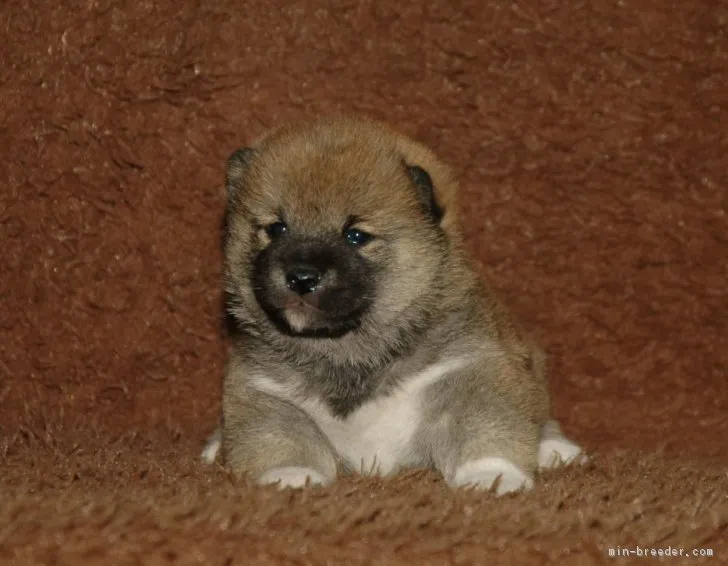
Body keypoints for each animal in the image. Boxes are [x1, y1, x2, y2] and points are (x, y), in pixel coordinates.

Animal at [202, 116, 584, 496]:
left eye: (355, 236)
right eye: (276, 229)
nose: (301, 277)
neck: (348, 352)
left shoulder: (473, 371)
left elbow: (485, 429)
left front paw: (493, 476)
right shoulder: (265, 393)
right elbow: (283, 439)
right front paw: (292, 475)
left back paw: (556, 449)